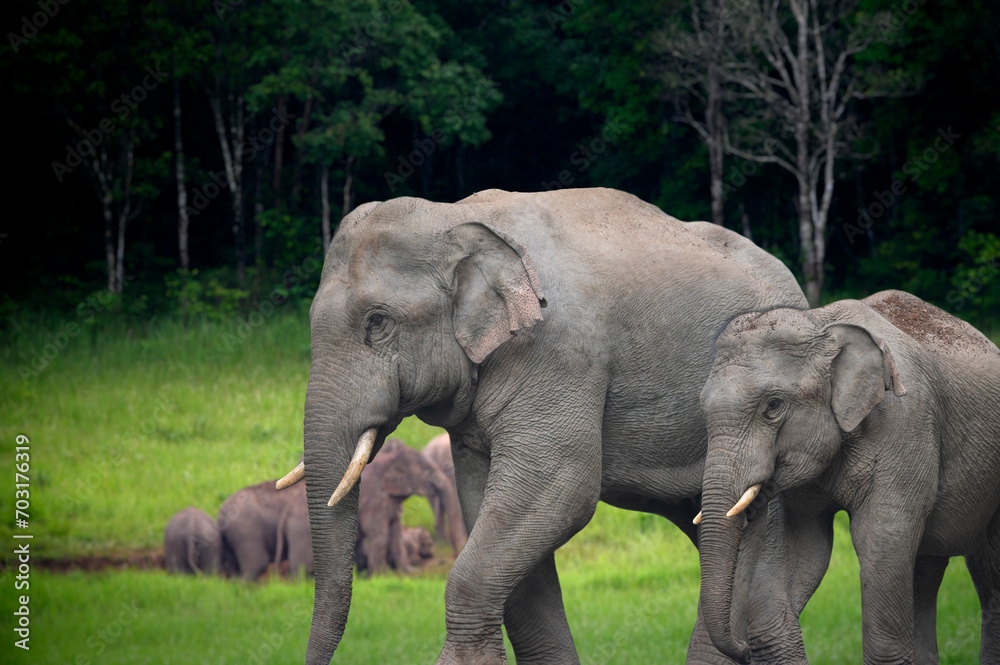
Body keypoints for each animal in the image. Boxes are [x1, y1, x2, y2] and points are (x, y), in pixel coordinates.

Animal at [355, 439, 465, 574]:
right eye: (427, 470)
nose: (455, 554)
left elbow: (396, 533)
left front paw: (405, 572)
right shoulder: (374, 501)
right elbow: (380, 535)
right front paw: (379, 575)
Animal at [696, 290, 1000, 665]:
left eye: (773, 406)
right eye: (702, 408)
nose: (742, 649)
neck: (822, 325)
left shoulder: (905, 425)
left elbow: (881, 542)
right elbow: (800, 557)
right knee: (927, 570)